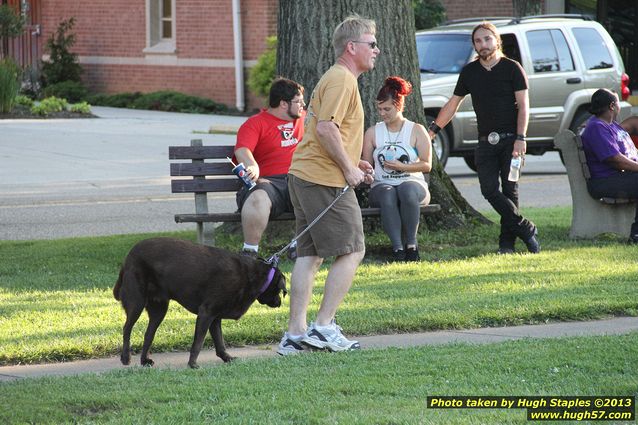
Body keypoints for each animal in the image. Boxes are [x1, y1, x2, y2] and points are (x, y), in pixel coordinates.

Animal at [113, 237, 288, 366]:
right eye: (279, 290)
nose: (279, 302)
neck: (253, 276)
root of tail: (128, 256)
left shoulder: (215, 317)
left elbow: (220, 342)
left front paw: (227, 358)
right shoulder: (206, 312)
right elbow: (198, 342)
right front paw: (192, 364)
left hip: (159, 308)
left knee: (149, 334)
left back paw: (144, 360)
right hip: (137, 301)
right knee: (127, 328)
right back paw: (125, 357)